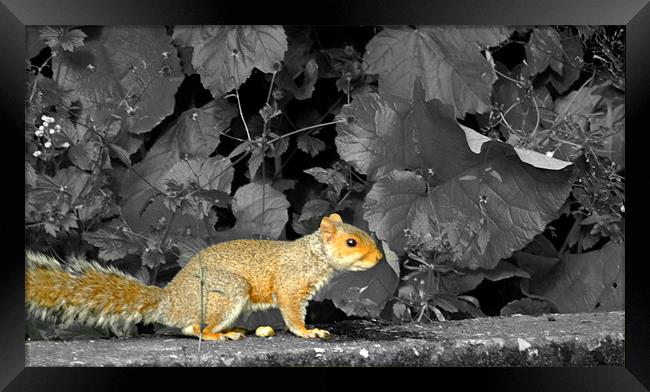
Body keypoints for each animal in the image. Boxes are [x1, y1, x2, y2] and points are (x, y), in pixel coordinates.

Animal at [25, 214, 382, 340]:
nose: (380, 258)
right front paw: (308, 332)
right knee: (194, 329)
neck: (313, 254)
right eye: (351, 242)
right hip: (226, 292)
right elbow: (292, 313)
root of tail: (169, 301)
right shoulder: (292, 284)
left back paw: (234, 329)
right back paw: (216, 336)